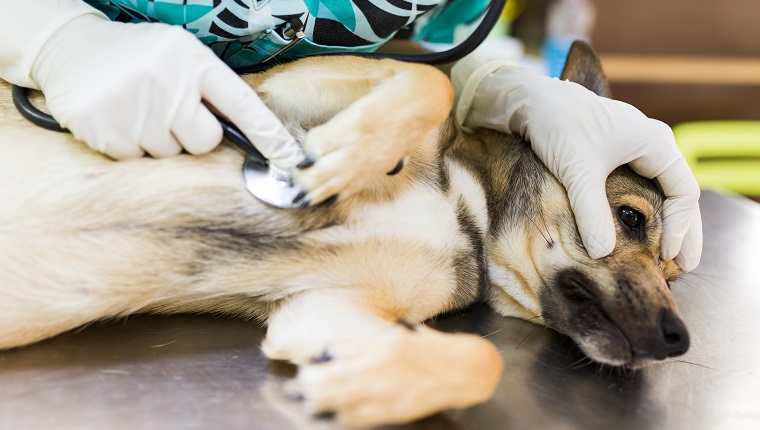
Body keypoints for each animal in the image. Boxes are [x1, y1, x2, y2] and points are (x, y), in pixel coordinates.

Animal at [0, 42, 688, 426]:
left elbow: (481, 358)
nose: (678, 339)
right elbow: (433, 83)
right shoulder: (263, 91)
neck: (468, 216)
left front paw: (366, 383)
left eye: (677, 273)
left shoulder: (320, 312)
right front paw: (344, 156)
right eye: (631, 218)